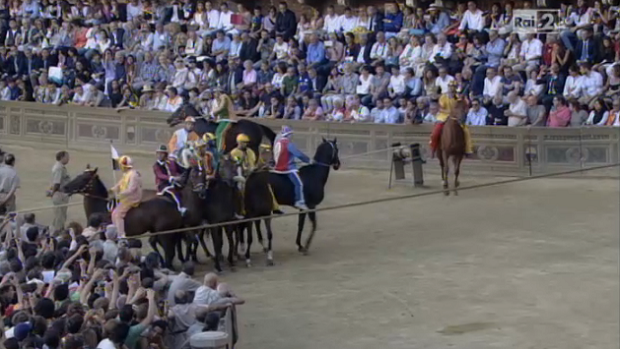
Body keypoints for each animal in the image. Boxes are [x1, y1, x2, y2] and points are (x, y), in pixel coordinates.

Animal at [243, 137, 342, 266]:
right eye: (337, 149)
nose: (338, 164)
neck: (314, 175)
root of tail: (252, 176)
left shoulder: (303, 207)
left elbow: (300, 225)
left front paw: (299, 245)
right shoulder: (311, 206)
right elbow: (314, 225)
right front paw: (306, 247)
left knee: (256, 223)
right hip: (259, 208)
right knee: (253, 224)